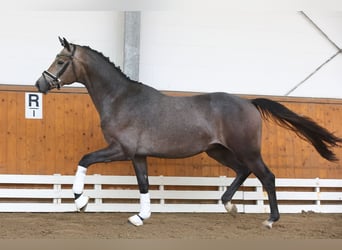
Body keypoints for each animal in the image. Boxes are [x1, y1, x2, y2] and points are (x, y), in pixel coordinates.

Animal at [34, 37, 340, 229]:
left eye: (60, 60)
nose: (40, 84)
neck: (121, 98)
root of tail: (249, 102)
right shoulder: (138, 155)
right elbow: (143, 184)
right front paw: (140, 217)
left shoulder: (121, 150)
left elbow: (85, 160)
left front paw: (81, 201)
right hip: (218, 150)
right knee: (243, 171)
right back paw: (229, 205)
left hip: (247, 150)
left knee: (267, 176)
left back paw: (270, 219)